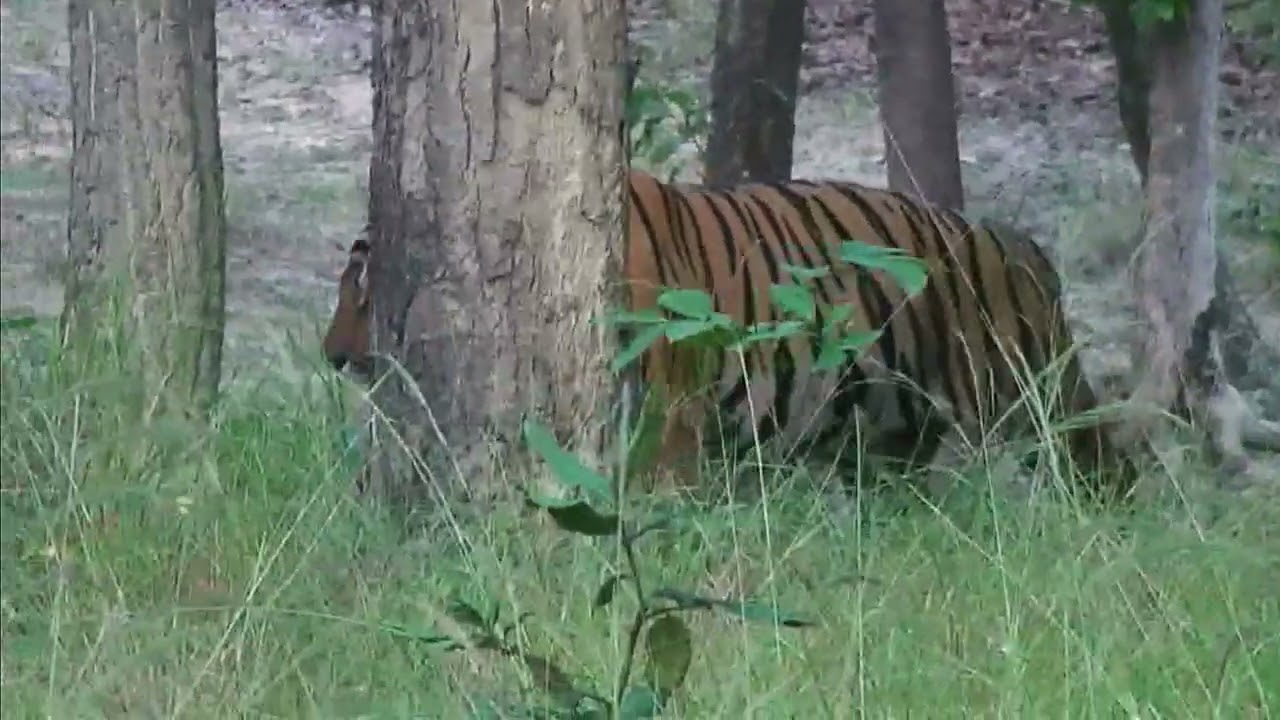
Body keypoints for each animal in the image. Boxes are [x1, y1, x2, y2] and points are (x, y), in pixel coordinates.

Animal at [322, 168, 1138, 504]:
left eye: (366, 292)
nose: (333, 358)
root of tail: (1018, 242)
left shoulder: (670, 417)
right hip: (884, 435)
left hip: (1029, 390)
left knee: (1107, 459)